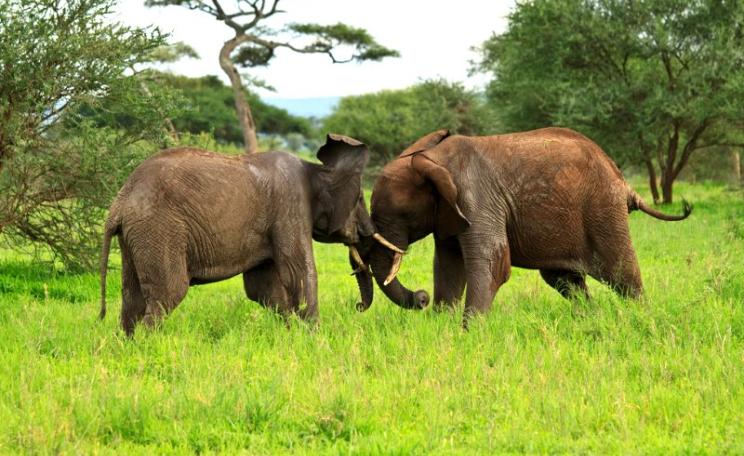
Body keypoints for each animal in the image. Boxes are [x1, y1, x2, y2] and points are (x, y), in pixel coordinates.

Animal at [99, 134, 394, 336]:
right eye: (359, 199)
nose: (357, 306)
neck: (316, 168)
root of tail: (119, 203)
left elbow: (263, 288)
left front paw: (292, 334)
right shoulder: (291, 206)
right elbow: (300, 272)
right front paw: (315, 338)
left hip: (136, 234)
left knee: (132, 298)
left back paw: (125, 344)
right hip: (159, 228)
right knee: (167, 293)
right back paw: (146, 345)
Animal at [361, 127, 692, 327]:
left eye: (397, 215)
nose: (421, 298)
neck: (431, 158)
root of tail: (623, 182)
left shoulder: (476, 198)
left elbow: (493, 264)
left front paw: (469, 330)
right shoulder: (449, 211)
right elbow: (448, 267)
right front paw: (442, 325)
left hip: (603, 210)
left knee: (622, 275)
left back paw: (642, 316)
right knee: (563, 279)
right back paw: (590, 318)